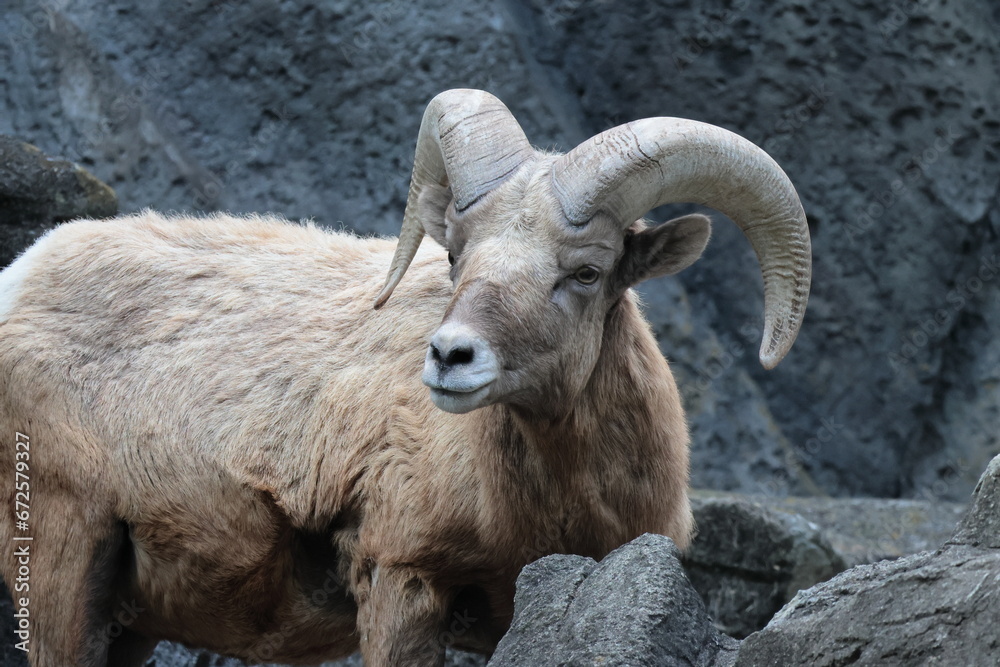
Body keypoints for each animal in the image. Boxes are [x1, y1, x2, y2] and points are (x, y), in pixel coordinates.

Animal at [0, 88, 810, 666]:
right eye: (455, 254)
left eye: (586, 271)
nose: (450, 356)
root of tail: (23, 277)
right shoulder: (402, 581)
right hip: (62, 557)